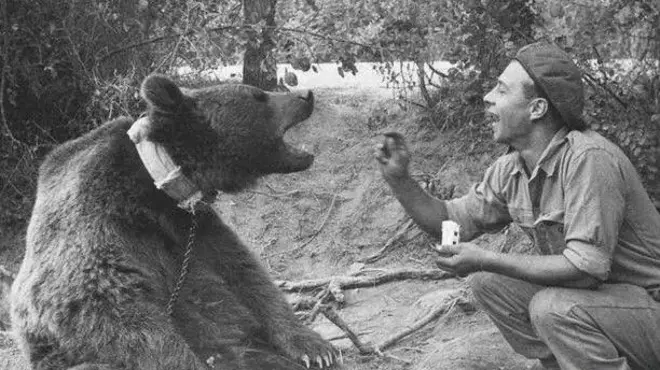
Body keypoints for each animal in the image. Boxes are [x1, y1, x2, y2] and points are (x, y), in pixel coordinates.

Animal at [9, 74, 340, 370]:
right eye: (258, 96)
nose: (306, 95)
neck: (159, 186)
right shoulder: (98, 226)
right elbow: (106, 306)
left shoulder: (194, 227)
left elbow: (246, 275)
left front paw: (316, 348)